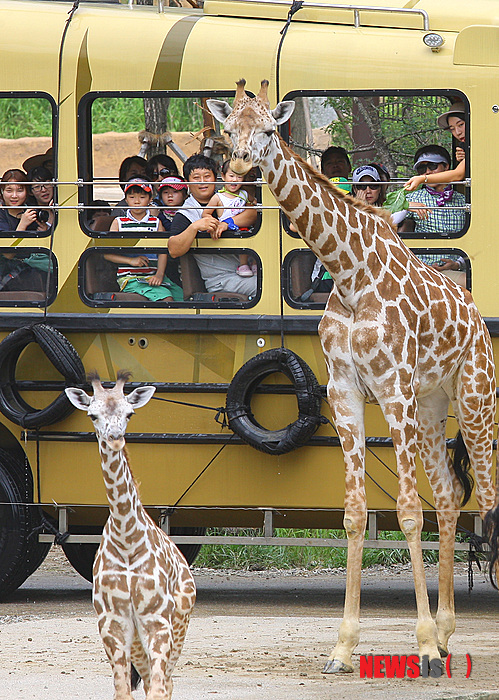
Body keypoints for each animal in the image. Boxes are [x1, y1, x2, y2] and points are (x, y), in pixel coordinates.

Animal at [209, 80, 499, 672]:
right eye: (229, 130)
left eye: (269, 129)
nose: (243, 164)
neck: (347, 273)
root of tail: (477, 319)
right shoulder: (345, 395)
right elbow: (354, 515)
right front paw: (345, 646)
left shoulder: (392, 391)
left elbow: (407, 512)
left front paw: (421, 645)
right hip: (433, 406)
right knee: (450, 495)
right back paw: (448, 631)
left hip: (475, 398)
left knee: (487, 495)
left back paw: (441, 638)